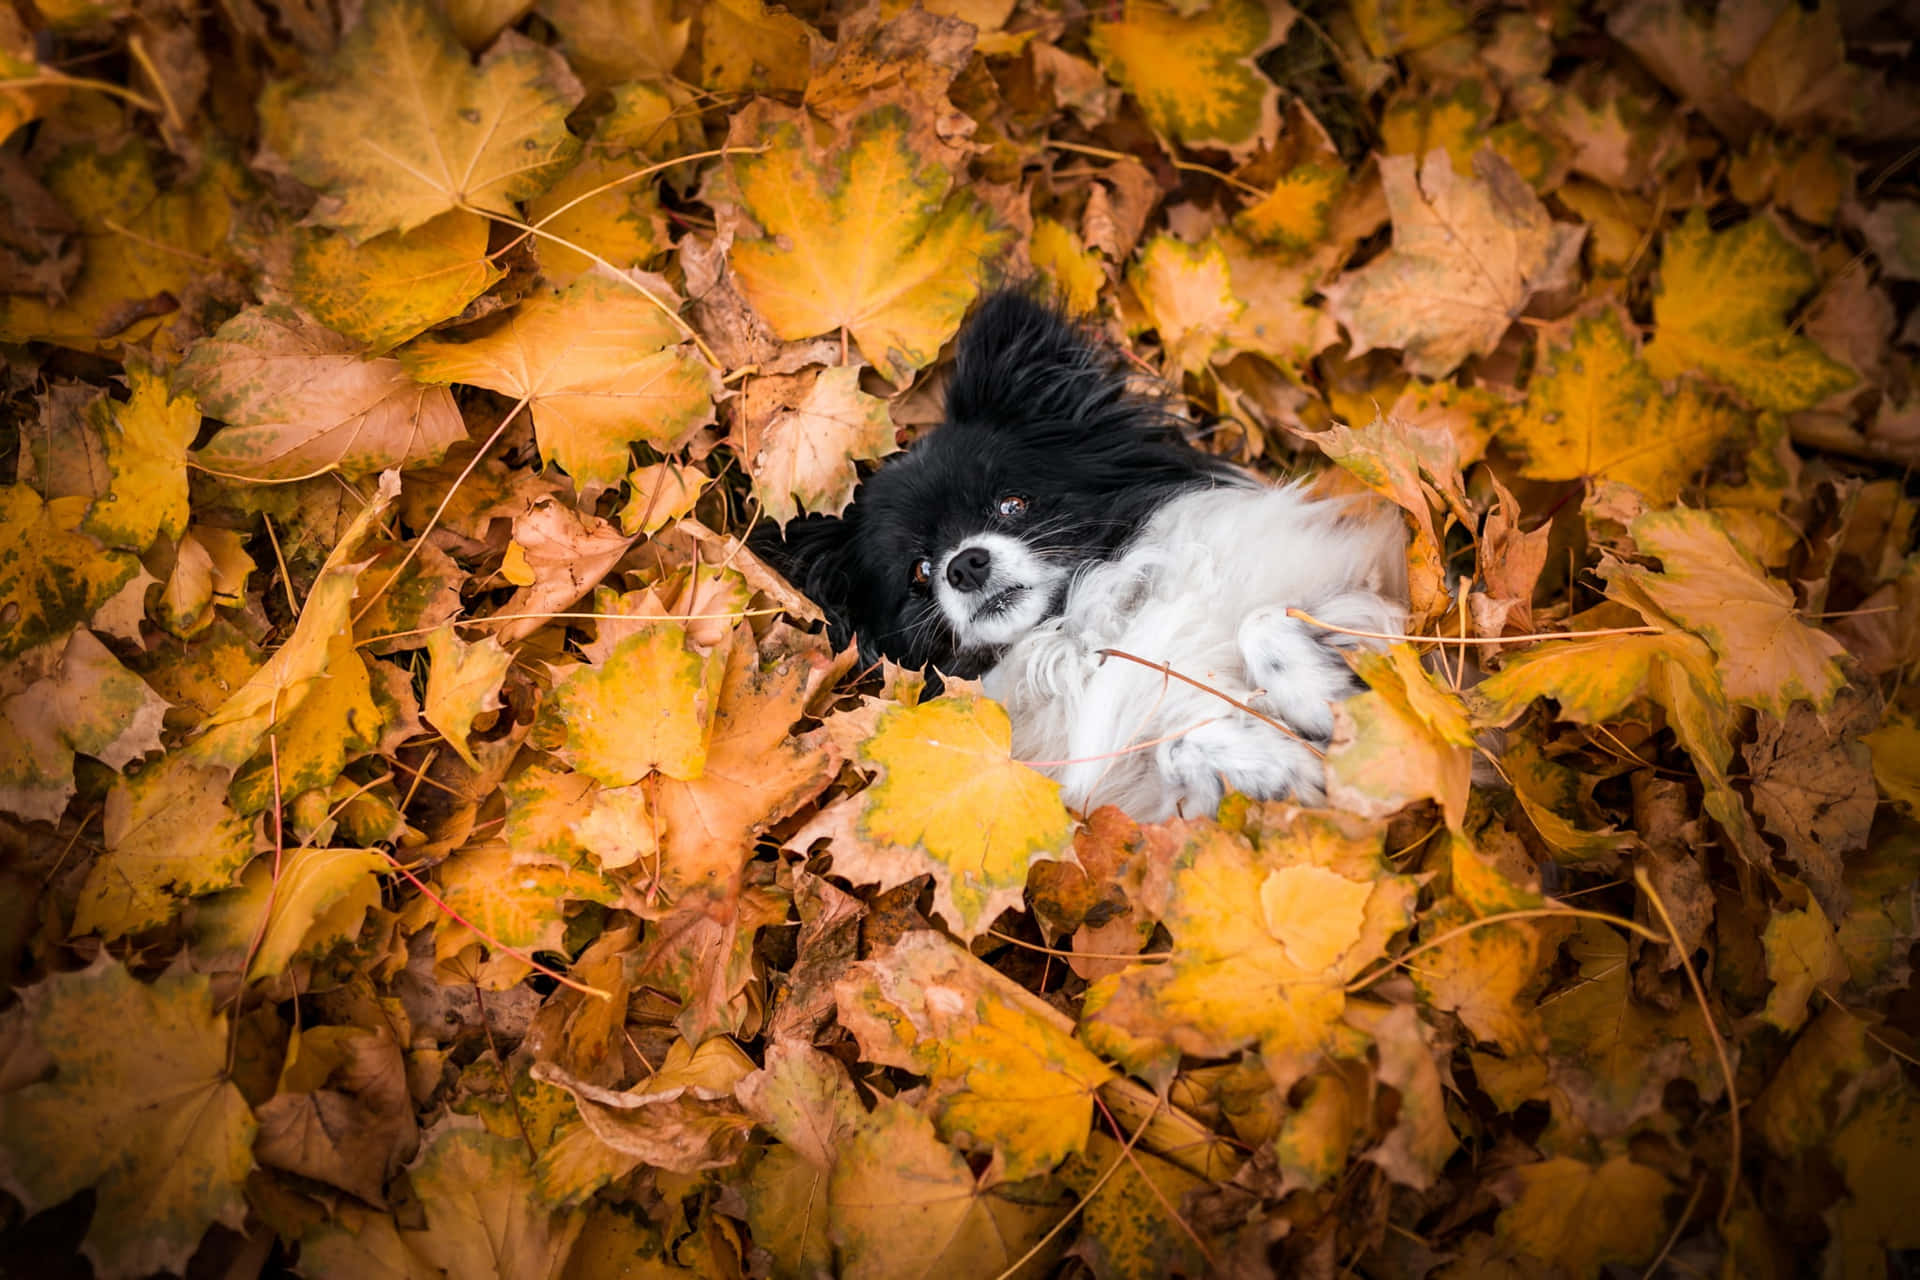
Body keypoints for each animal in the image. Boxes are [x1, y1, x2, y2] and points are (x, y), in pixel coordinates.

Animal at [756, 291, 1405, 821]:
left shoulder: (1381, 585)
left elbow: (1262, 620)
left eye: (1012, 504)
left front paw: (1317, 697)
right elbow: (1178, 746)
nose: (964, 564)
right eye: (919, 573)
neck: (1079, 624)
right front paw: (1278, 764)